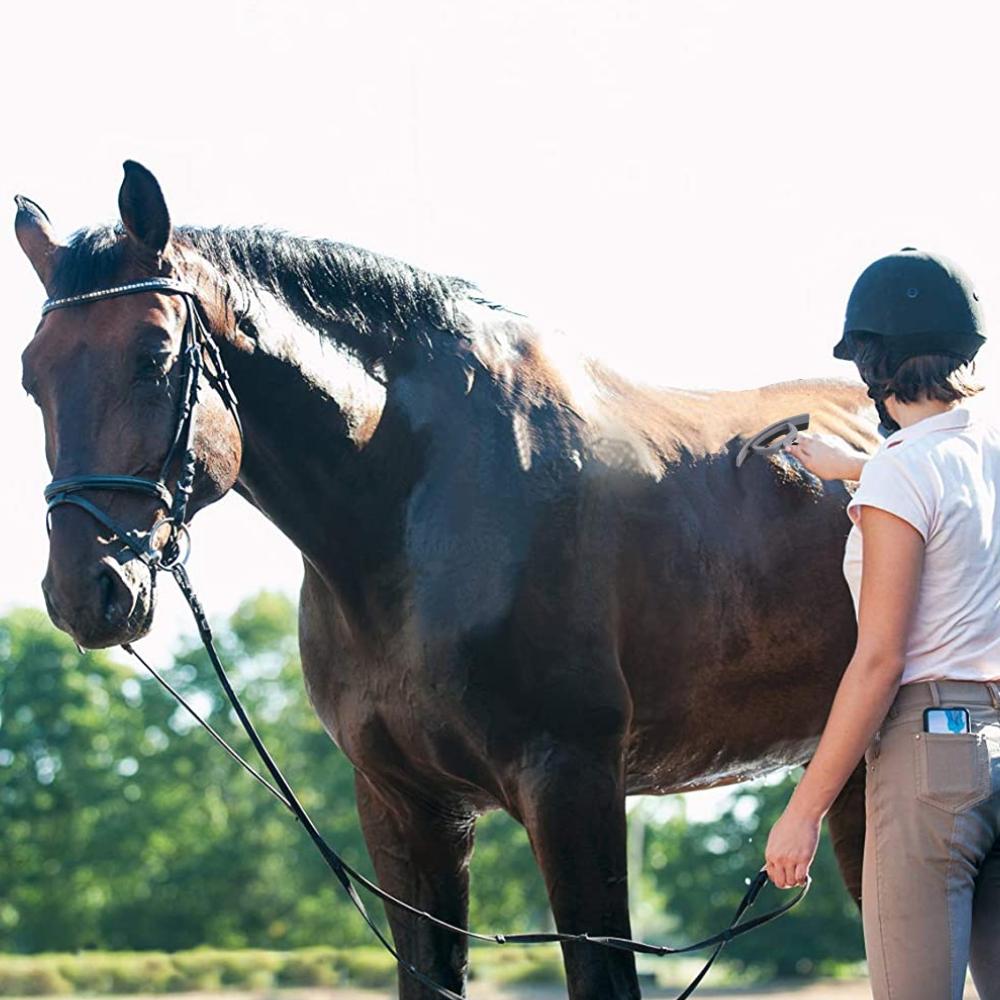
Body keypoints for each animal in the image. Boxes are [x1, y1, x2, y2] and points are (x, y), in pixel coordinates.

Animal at [15, 161, 879, 1000]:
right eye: (31, 376)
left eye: (155, 355)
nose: (86, 590)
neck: (420, 498)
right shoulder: (404, 805)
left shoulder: (572, 783)